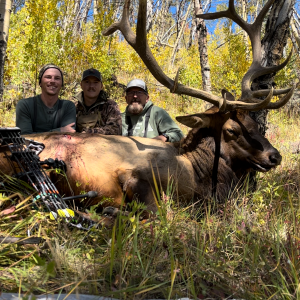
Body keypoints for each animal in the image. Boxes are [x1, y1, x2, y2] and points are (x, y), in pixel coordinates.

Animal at [0, 0, 296, 216]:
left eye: (255, 124)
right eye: (232, 130)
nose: (275, 156)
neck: (198, 173)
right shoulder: (135, 175)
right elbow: (158, 213)